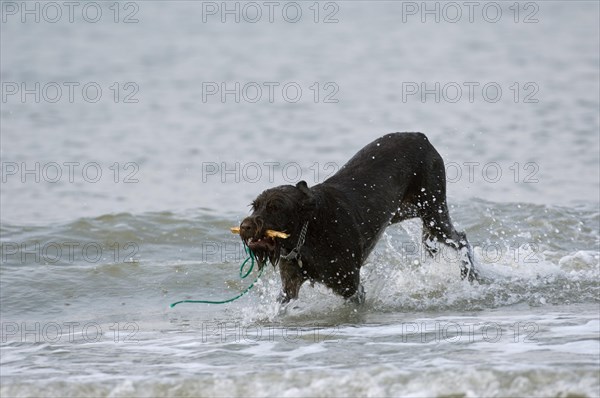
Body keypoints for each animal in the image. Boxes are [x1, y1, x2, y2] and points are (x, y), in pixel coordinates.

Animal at [237, 132, 476, 304]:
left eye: (275, 207)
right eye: (255, 206)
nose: (245, 227)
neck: (308, 230)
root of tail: (421, 137)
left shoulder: (350, 287)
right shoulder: (290, 287)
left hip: (433, 211)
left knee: (461, 239)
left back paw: (471, 276)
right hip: (405, 211)